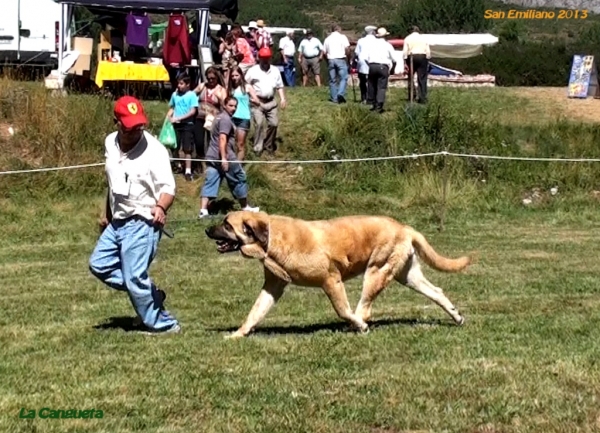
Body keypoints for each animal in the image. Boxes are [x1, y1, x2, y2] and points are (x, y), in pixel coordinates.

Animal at [206, 209, 474, 338]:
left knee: (363, 309)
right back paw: (456, 316)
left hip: (376, 272)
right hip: (406, 275)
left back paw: (357, 326)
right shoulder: (273, 286)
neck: (270, 238)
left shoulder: (331, 281)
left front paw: (358, 325)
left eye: (227, 224)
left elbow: (343, 310)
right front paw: (238, 334)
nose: (207, 229)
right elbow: (255, 312)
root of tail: (404, 227)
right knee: (436, 291)